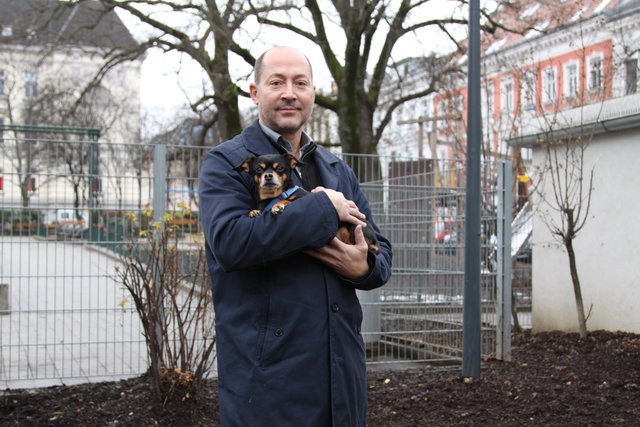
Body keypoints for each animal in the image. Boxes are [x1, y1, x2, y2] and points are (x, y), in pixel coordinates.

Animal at [239, 154, 380, 254]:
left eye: (279, 168)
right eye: (258, 169)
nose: (268, 175)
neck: (272, 196)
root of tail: (375, 241)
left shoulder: (304, 197)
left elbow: (288, 199)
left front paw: (278, 205)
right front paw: (254, 211)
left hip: (351, 228)